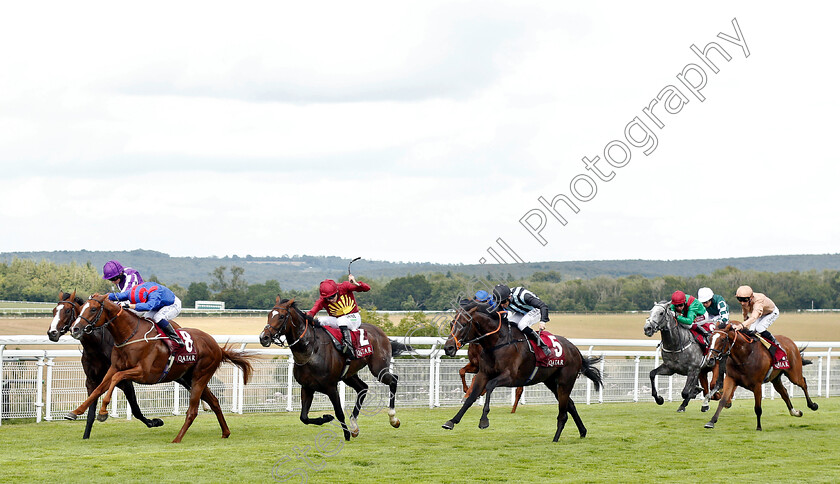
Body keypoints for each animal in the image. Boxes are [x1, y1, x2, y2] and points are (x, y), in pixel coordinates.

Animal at [66, 294, 253, 442]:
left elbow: (116, 378)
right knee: (214, 402)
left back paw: (177, 439)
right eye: (81, 308)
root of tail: (217, 347)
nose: (75, 328)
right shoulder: (114, 368)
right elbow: (100, 387)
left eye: (93, 309)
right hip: (190, 378)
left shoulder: (144, 373)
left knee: (193, 411)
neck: (130, 335)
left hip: (201, 376)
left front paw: (103, 412)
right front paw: (76, 411)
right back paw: (225, 432)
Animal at [260, 296, 404, 440]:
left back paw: (393, 419)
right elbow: (304, 417)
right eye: (269, 315)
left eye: (281, 316)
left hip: (378, 369)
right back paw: (354, 426)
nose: (263, 337)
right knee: (363, 388)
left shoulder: (331, 387)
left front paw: (346, 435)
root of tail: (381, 333)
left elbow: (339, 412)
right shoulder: (307, 387)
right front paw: (326, 418)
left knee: (393, 380)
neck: (311, 350)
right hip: (349, 375)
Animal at [440, 302, 604, 442]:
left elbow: (490, 386)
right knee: (570, 404)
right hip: (551, 382)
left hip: (565, 382)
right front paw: (452, 421)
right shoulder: (483, 374)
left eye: (464, 324)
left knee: (563, 413)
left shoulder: (510, 377)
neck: (498, 342)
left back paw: (556, 438)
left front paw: (484, 420)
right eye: (451, 323)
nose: (448, 347)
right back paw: (582, 431)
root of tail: (574, 348)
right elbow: (471, 397)